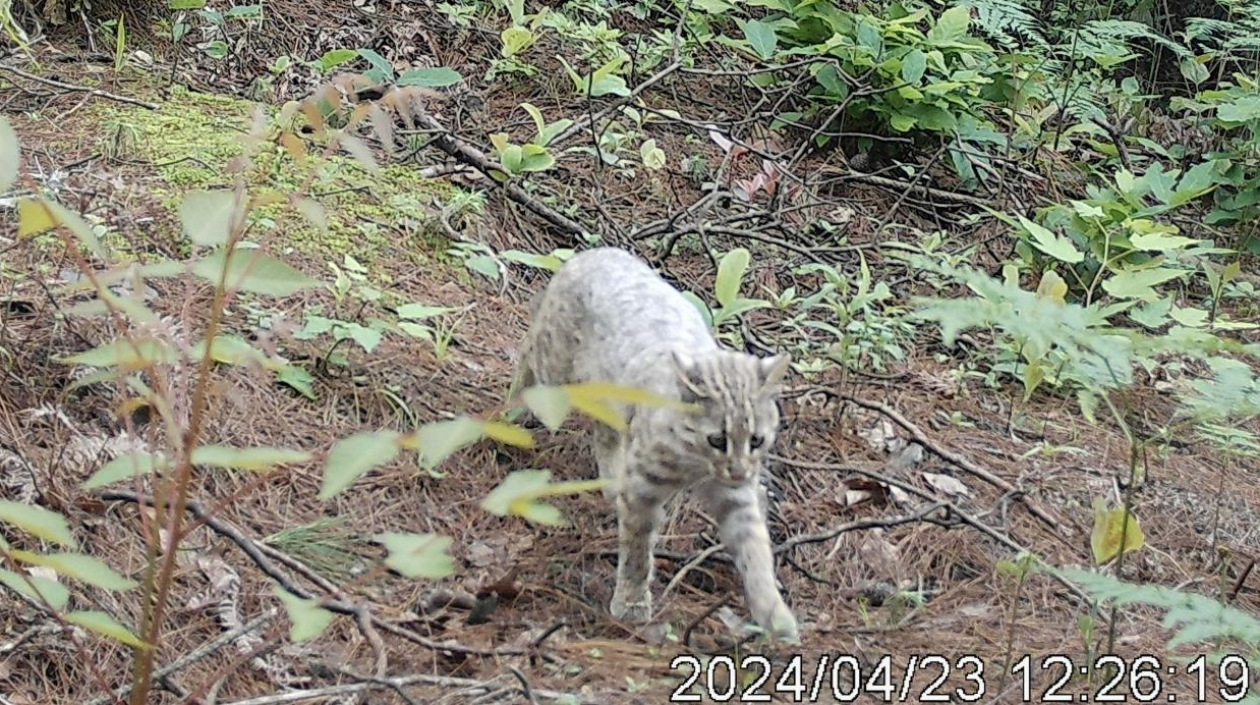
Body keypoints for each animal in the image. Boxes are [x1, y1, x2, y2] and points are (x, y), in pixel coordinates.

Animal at [509, 248, 796, 644]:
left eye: (757, 440)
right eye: (717, 439)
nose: (738, 471)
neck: (696, 463)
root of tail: (593, 252)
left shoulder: (736, 496)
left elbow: (756, 551)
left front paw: (774, 613)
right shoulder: (644, 489)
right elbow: (637, 549)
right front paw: (631, 603)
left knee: (605, 432)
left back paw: (610, 482)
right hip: (555, 366)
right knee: (528, 349)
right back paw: (507, 416)